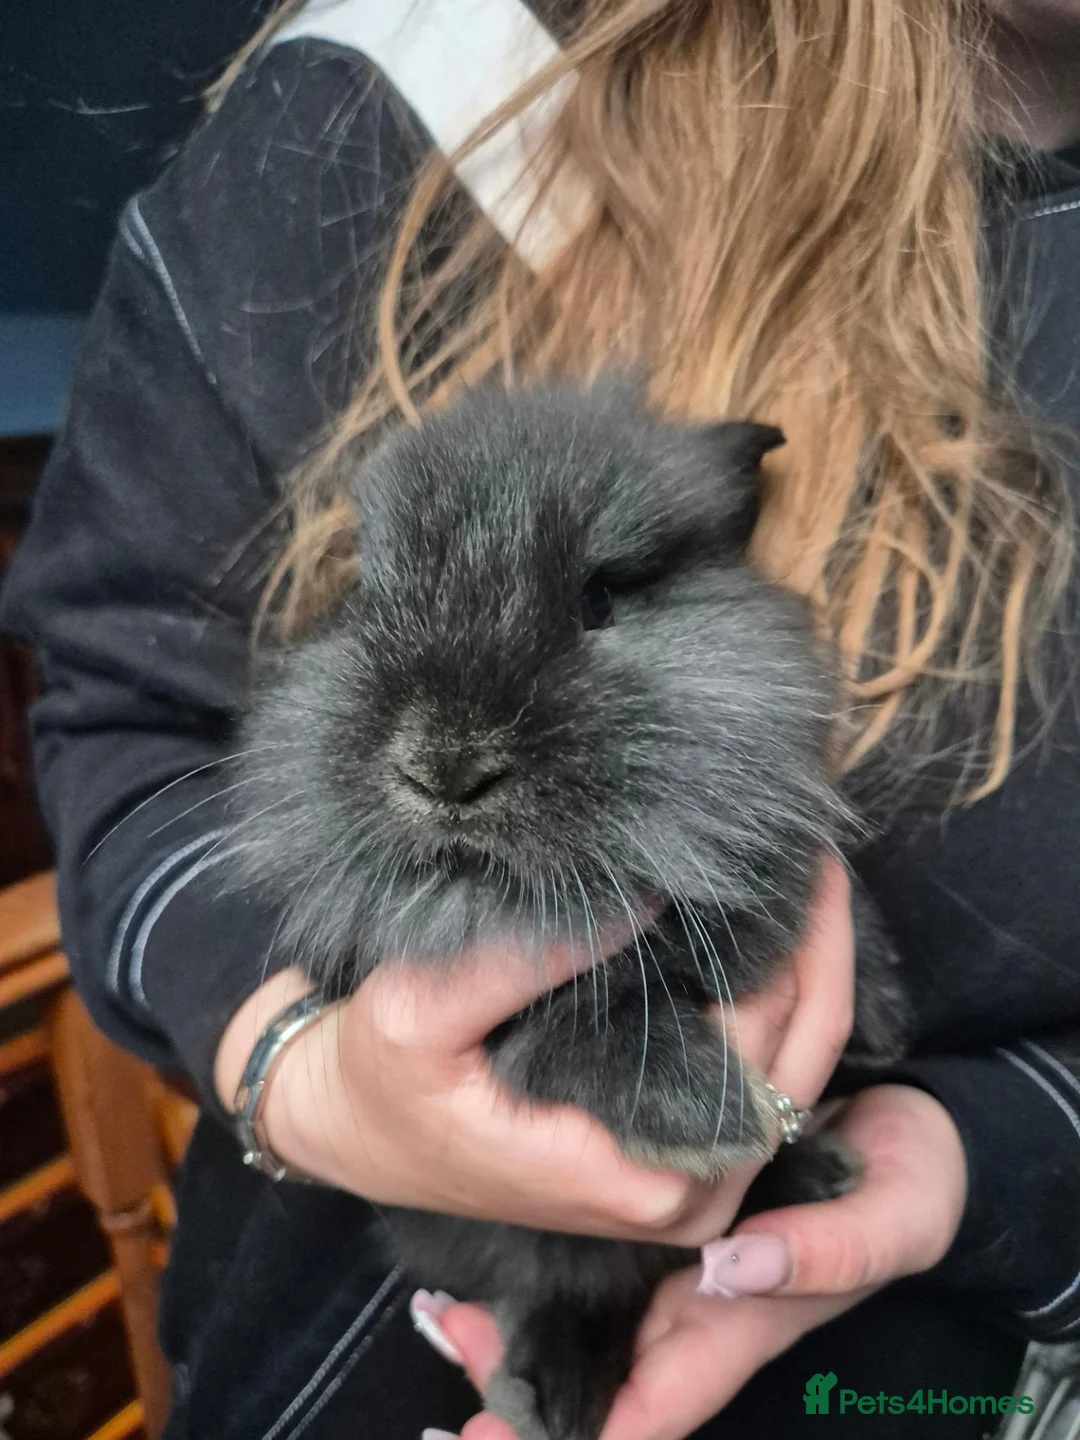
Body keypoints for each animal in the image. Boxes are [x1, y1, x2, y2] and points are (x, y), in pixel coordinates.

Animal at [228, 381, 908, 1440]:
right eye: (371, 599)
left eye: (600, 600)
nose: (445, 767)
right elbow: (575, 1027)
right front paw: (706, 1114)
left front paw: (877, 1017)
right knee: (577, 1281)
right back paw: (558, 1390)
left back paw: (819, 1175)